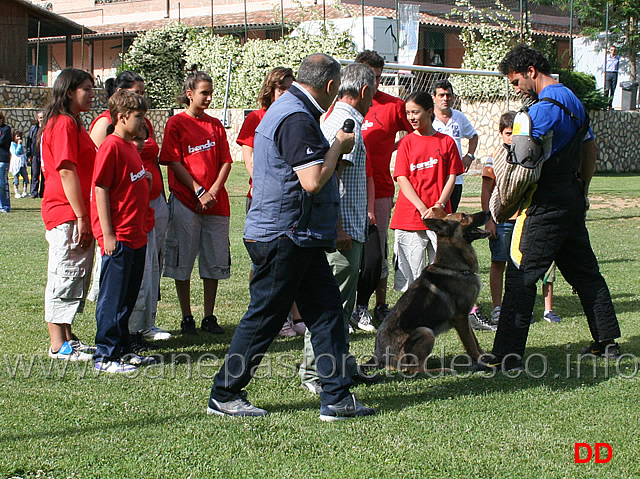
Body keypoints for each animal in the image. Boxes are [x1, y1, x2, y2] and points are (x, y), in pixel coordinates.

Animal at [362, 211, 492, 376]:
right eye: (464, 216)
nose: (489, 212)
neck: (454, 266)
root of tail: (378, 357)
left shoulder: (465, 318)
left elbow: (475, 340)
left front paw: (484, 356)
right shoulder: (460, 318)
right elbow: (470, 344)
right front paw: (480, 361)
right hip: (426, 332)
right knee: (415, 369)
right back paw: (442, 370)